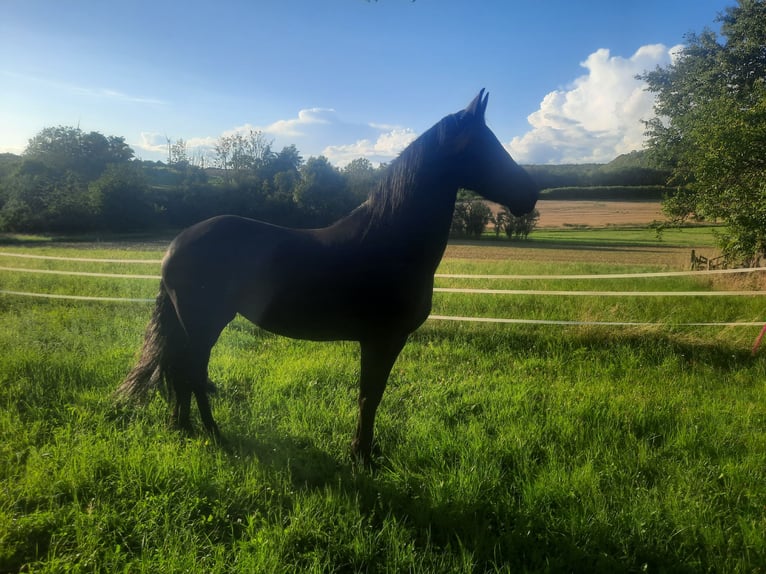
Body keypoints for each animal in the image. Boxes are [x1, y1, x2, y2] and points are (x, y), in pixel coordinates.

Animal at [116, 90, 538, 464]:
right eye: (486, 146)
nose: (530, 193)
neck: (390, 240)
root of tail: (176, 244)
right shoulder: (383, 340)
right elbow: (370, 396)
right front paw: (362, 457)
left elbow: (370, 396)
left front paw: (363, 452)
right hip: (204, 323)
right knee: (192, 371)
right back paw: (214, 433)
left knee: (182, 372)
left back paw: (185, 427)